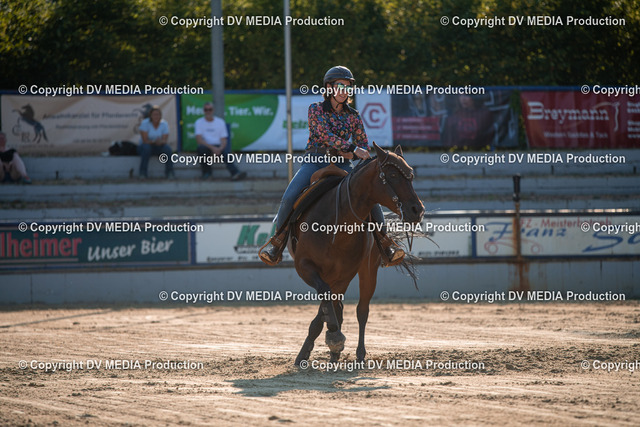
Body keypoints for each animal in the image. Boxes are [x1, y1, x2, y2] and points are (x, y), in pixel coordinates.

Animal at [288, 142, 425, 365]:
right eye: (392, 175)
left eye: (411, 175)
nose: (417, 210)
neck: (337, 224)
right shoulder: (305, 267)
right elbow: (326, 299)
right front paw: (329, 339)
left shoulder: (345, 274)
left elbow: (331, 307)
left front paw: (333, 338)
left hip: (367, 270)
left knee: (361, 310)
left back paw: (358, 353)